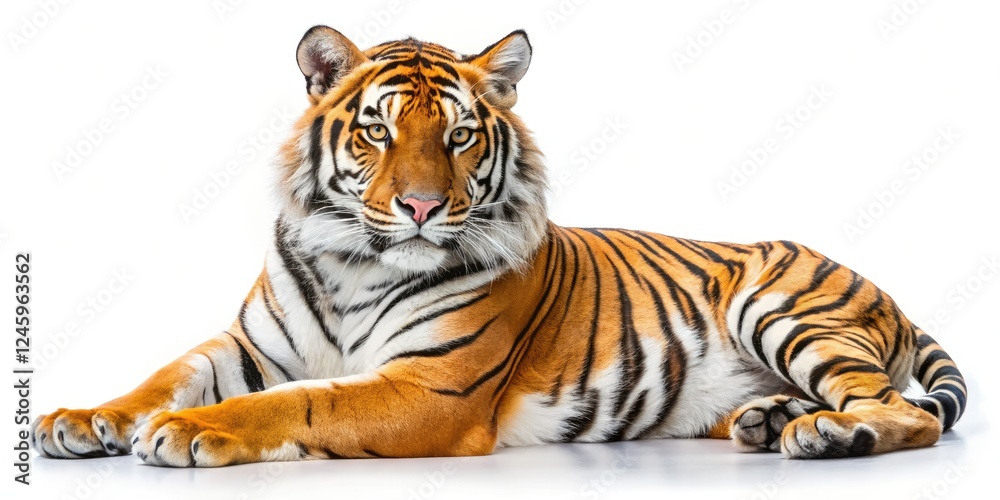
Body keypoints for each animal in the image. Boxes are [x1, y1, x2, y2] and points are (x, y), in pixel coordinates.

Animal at [32, 26, 966, 467]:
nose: (418, 205)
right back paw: (770, 420)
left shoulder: (431, 387)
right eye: (377, 130)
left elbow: (301, 403)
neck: (351, 264)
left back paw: (828, 436)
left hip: (787, 309)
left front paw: (190, 433)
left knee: (902, 408)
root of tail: (881, 286)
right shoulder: (251, 344)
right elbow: (167, 374)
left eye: (458, 137)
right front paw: (82, 419)